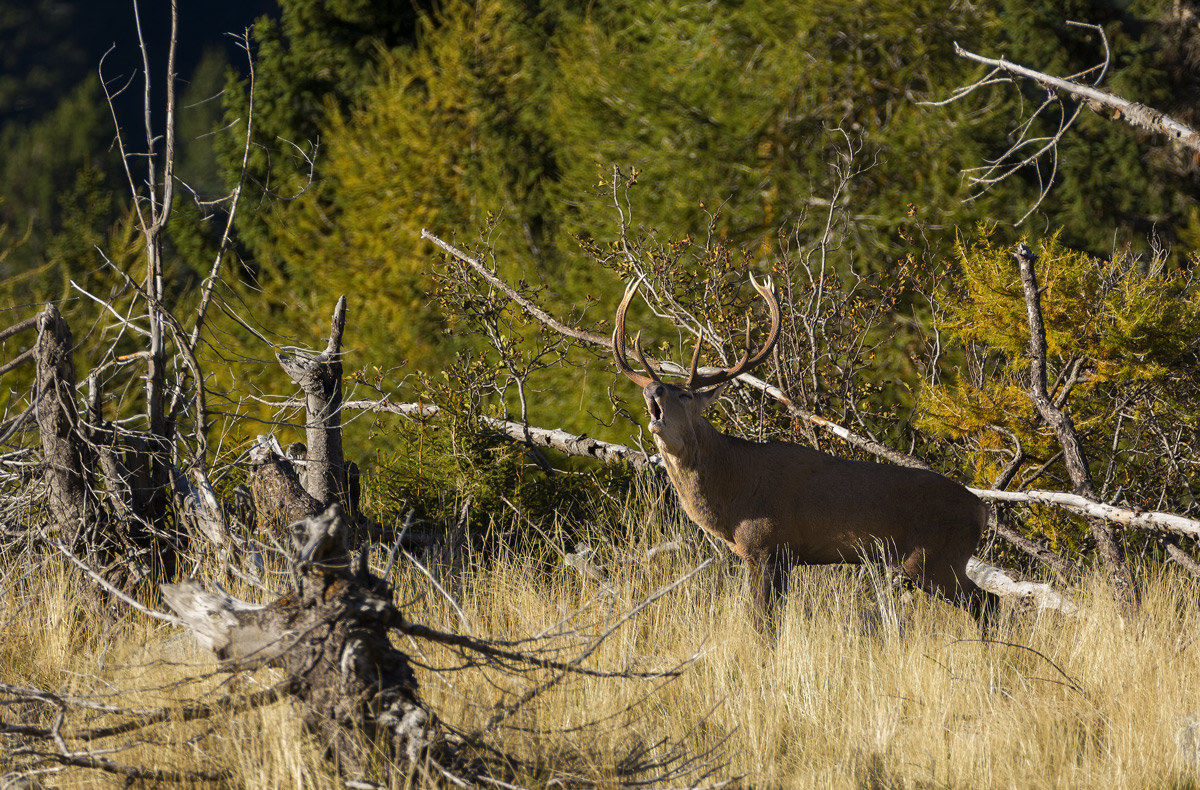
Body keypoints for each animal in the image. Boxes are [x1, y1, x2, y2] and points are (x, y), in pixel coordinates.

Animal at [612, 275, 998, 628]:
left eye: (686, 394)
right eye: (658, 390)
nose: (653, 389)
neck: (734, 494)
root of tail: (981, 509)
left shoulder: (769, 545)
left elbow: (763, 621)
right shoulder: (774, 556)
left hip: (932, 558)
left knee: (987, 601)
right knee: (986, 602)